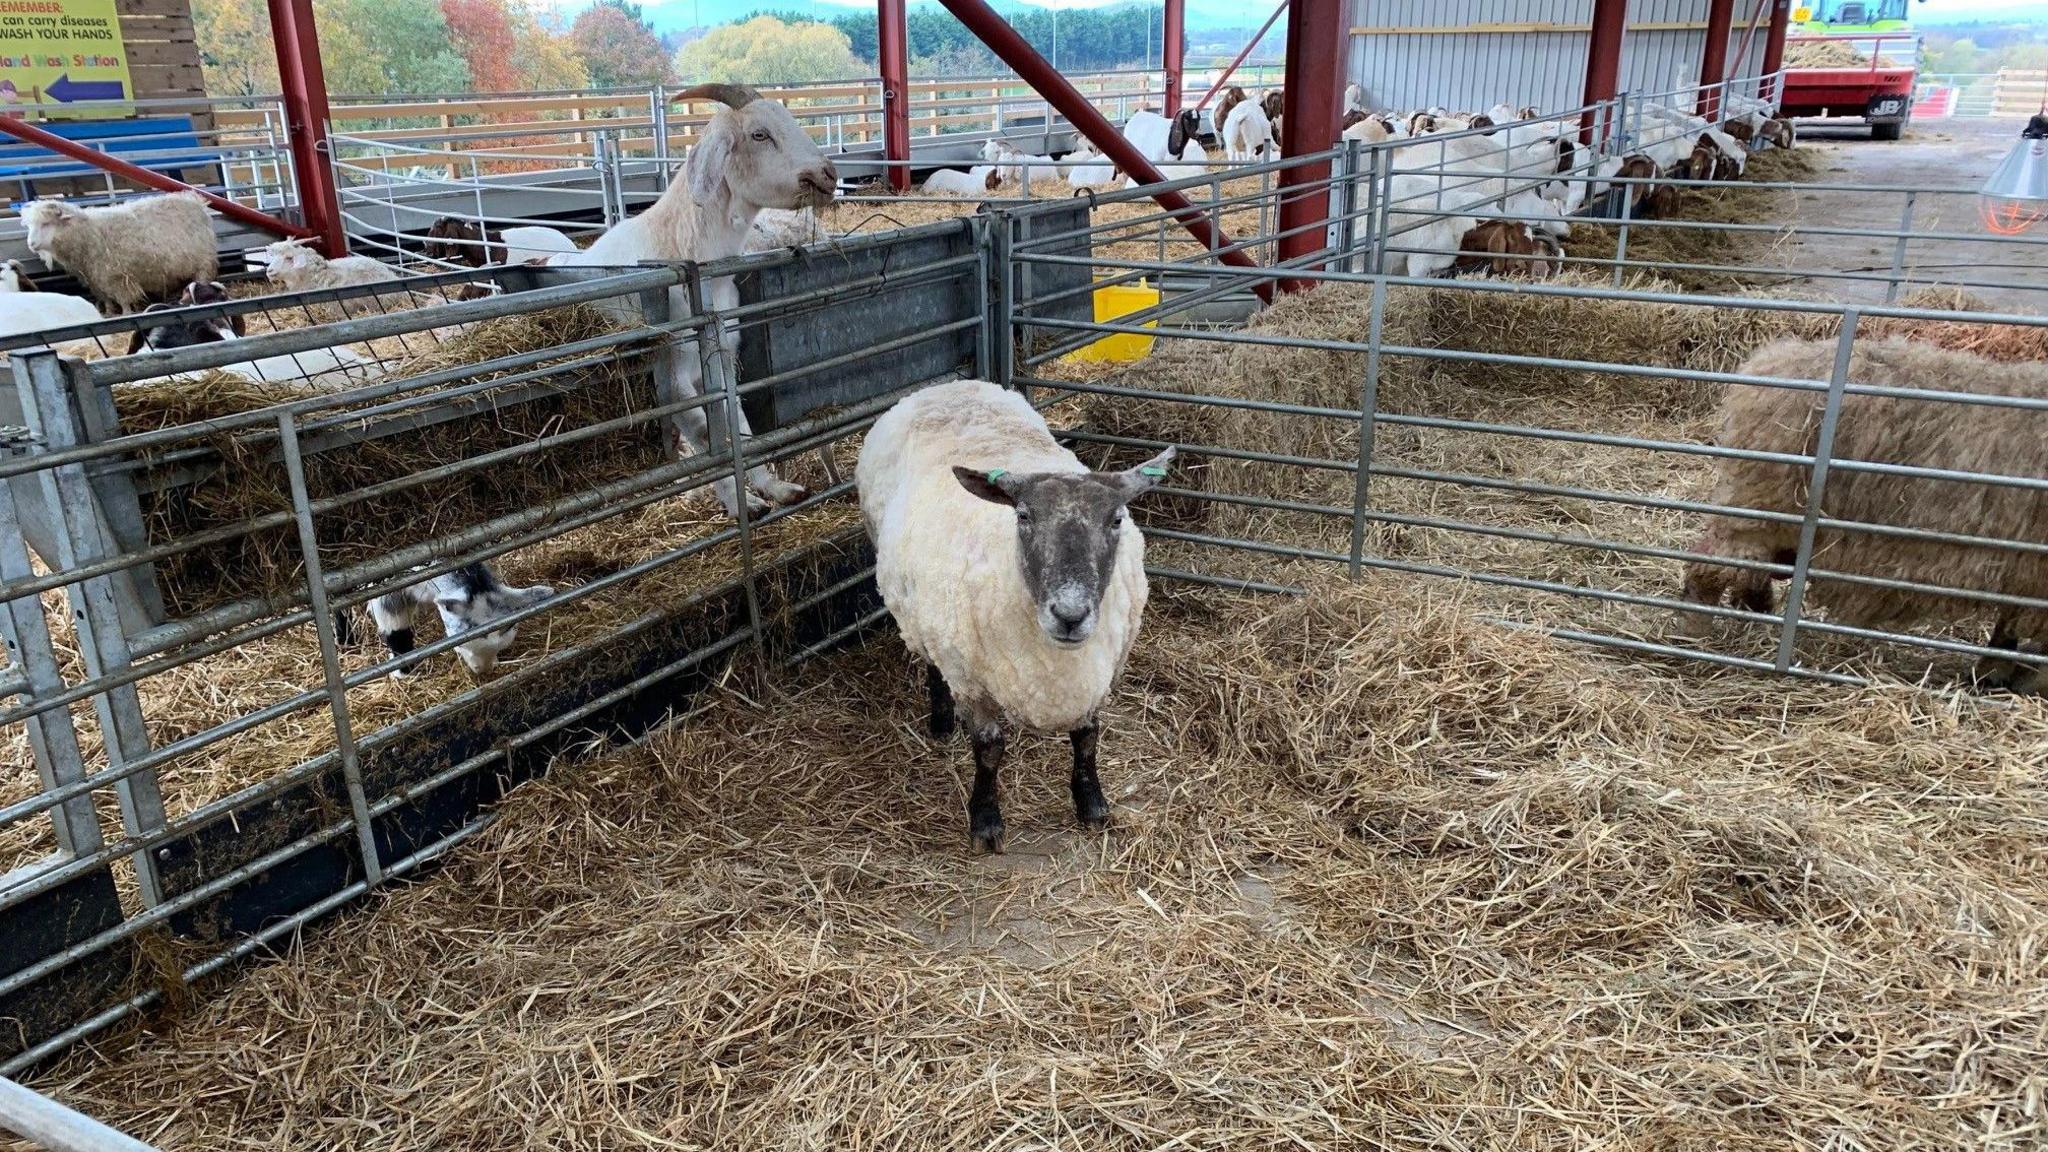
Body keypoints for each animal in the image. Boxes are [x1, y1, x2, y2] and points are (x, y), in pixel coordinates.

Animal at [22, 192, 217, 311]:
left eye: (46, 224)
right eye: (30, 225)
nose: (31, 244)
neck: (90, 232)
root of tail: (195, 200)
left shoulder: (119, 278)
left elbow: (124, 302)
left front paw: (125, 313)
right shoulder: (95, 279)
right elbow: (106, 299)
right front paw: (109, 312)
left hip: (203, 262)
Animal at [552, 87, 839, 518]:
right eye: (759, 135)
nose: (828, 174)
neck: (681, 249)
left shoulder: (721, 358)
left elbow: (737, 423)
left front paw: (776, 488)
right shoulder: (671, 381)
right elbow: (707, 437)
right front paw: (743, 505)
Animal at [856, 379, 1179, 852]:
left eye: (1117, 519)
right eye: (1023, 516)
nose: (1070, 614)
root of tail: (946, 386)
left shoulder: (1102, 673)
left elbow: (1087, 738)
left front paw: (1091, 803)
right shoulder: (972, 680)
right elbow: (989, 750)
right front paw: (985, 820)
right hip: (928, 616)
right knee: (931, 660)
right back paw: (941, 721)